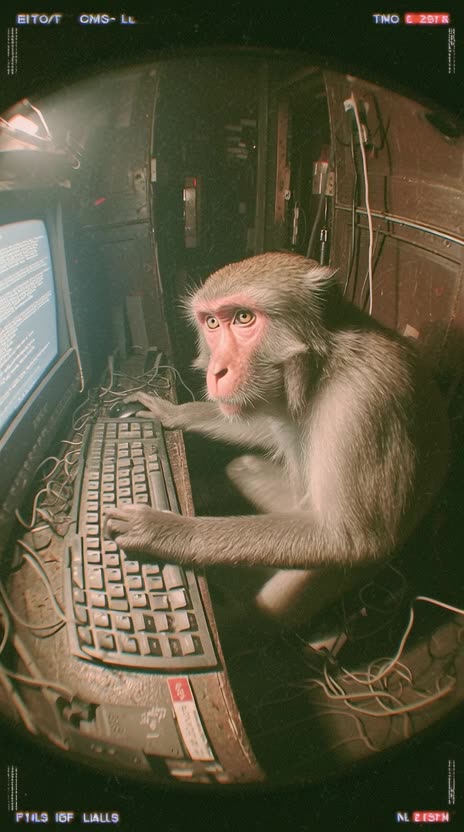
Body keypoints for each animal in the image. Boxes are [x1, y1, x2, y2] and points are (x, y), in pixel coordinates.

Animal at [105, 252, 449, 628]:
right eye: (211, 323)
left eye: (244, 317)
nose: (216, 371)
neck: (321, 368)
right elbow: (264, 428)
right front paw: (173, 412)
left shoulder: (365, 401)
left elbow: (350, 539)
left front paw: (168, 530)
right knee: (244, 468)